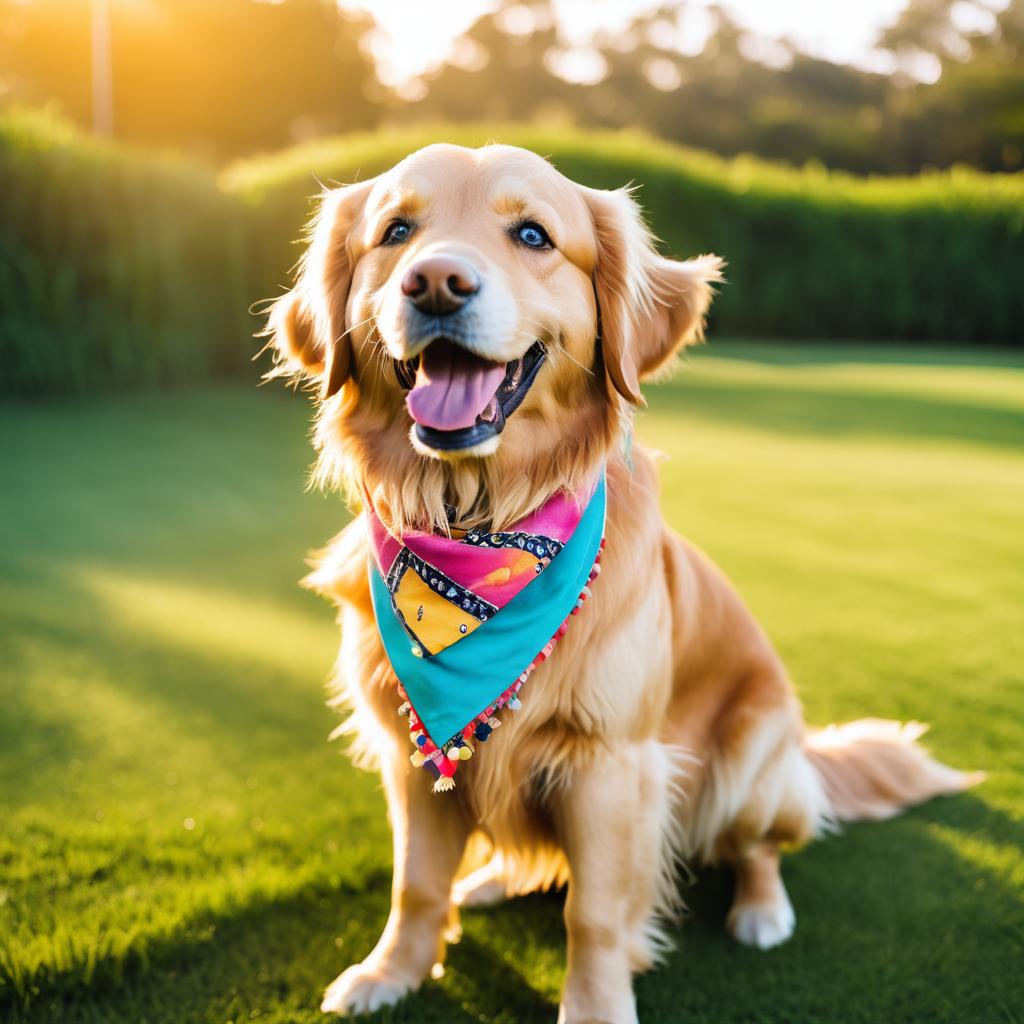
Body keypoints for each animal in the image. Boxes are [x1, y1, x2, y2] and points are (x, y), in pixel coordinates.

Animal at [266, 144, 983, 1024]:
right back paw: (495, 877)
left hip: (751, 756)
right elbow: (417, 884)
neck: (480, 526)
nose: (434, 282)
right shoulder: (412, 753)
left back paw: (762, 911)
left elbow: (596, 913)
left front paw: (596, 1007)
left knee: (758, 847)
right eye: (395, 232)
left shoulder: (610, 764)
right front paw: (391, 972)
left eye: (533, 234)